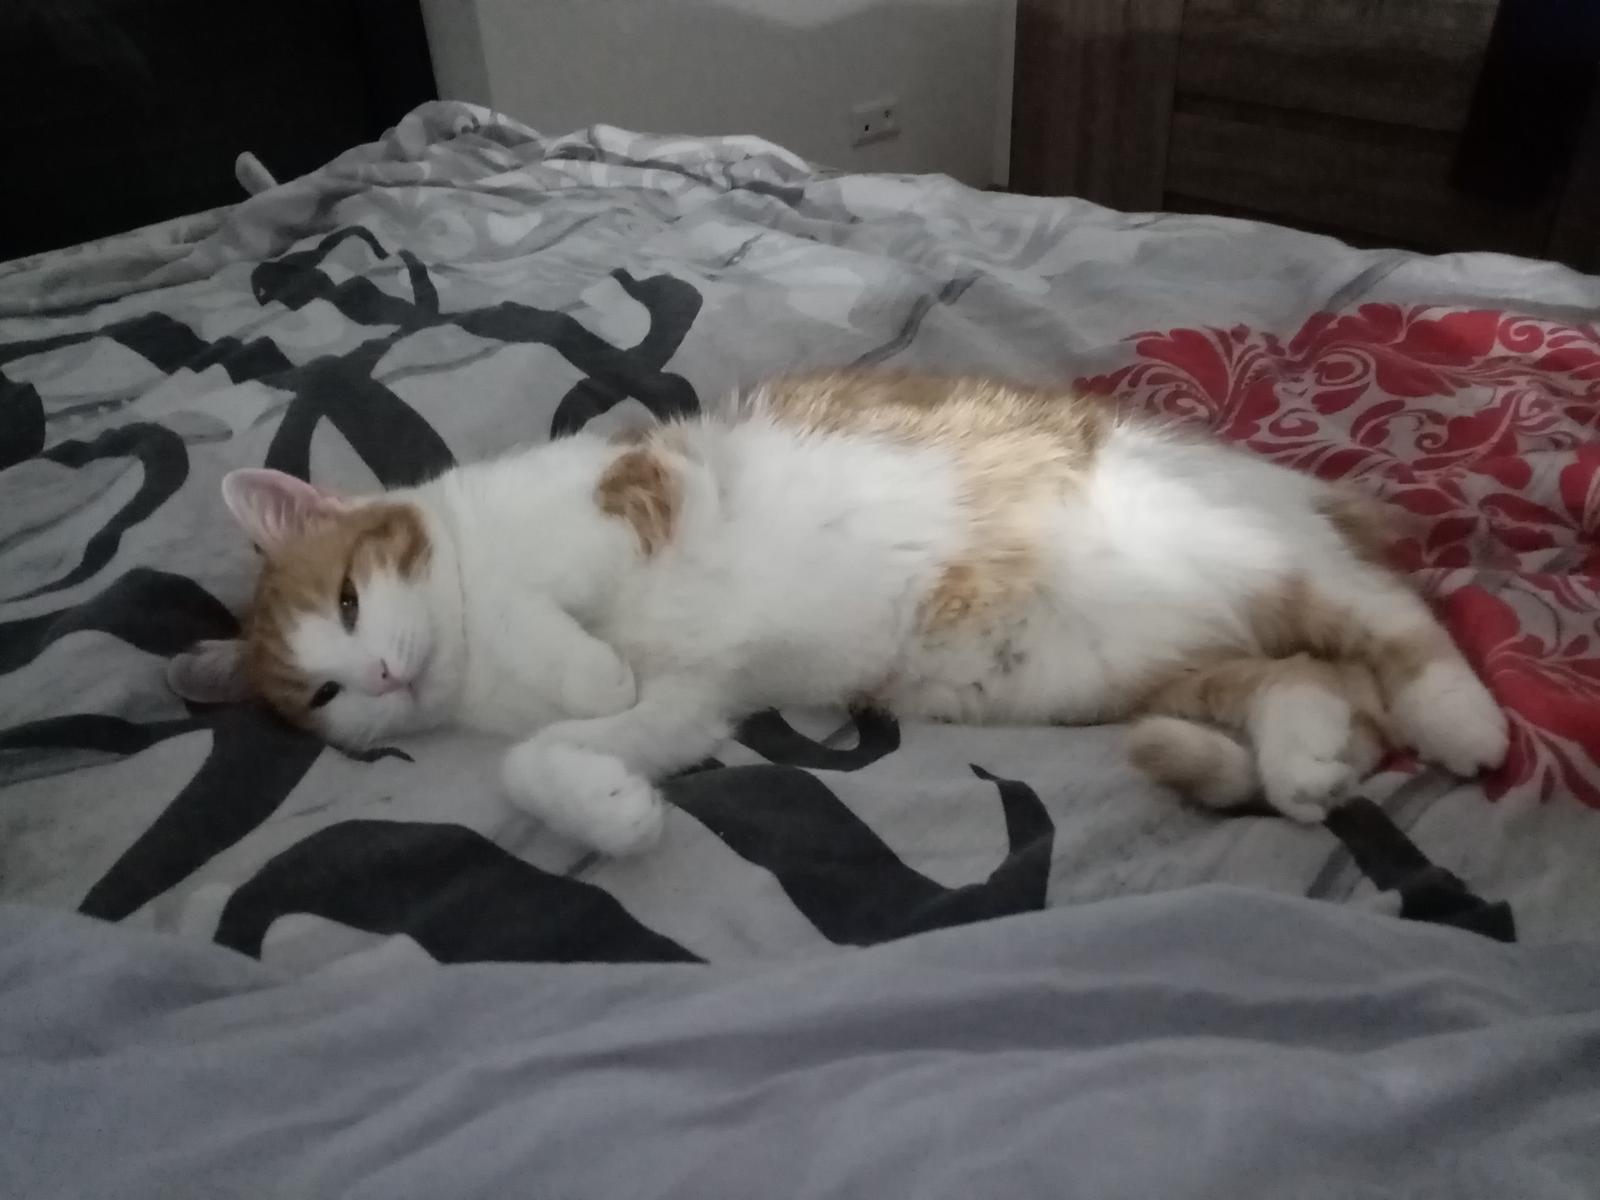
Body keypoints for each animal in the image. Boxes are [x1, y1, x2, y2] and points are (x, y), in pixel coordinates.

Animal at [169, 372, 1509, 855]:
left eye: (352, 599)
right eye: (324, 692)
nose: (385, 682)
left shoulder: (630, 494)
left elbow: (572, 620)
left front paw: (583, 665)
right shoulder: (697, 703)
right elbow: (545, 758)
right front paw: (612, 809)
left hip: (1252, 547)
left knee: (1390, 615)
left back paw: (1462, 719)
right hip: (1147, 673)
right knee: (1308, 680)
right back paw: (1302, 757)